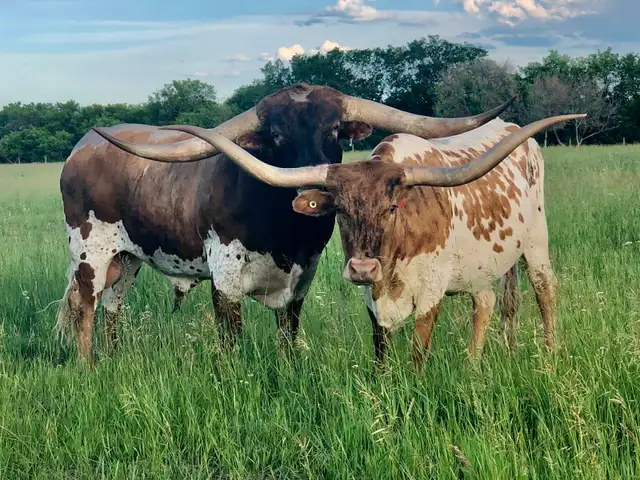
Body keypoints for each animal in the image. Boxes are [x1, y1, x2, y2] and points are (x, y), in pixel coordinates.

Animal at [56, 82, 516, 367]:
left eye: (334, 129)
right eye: (276, 134)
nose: (312, 182)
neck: (284, 233)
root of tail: (83, 147)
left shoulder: (301, 279)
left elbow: (288, 335)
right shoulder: (225, 281)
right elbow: (231, 342)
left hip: (126, 259)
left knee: (112, 305)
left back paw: (112, 359)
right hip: (89, 253)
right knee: (84, 307)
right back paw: (88, 368)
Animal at [127, 112, 585, 370]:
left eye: (393, 208)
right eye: (340, 211)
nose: (363, 267)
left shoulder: (431, 290)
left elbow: (418, 353)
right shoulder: (373, 298)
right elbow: (381, 351)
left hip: (536, 243)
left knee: (545, 290)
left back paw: (548, 357)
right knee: (490, 302)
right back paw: (479, 365)